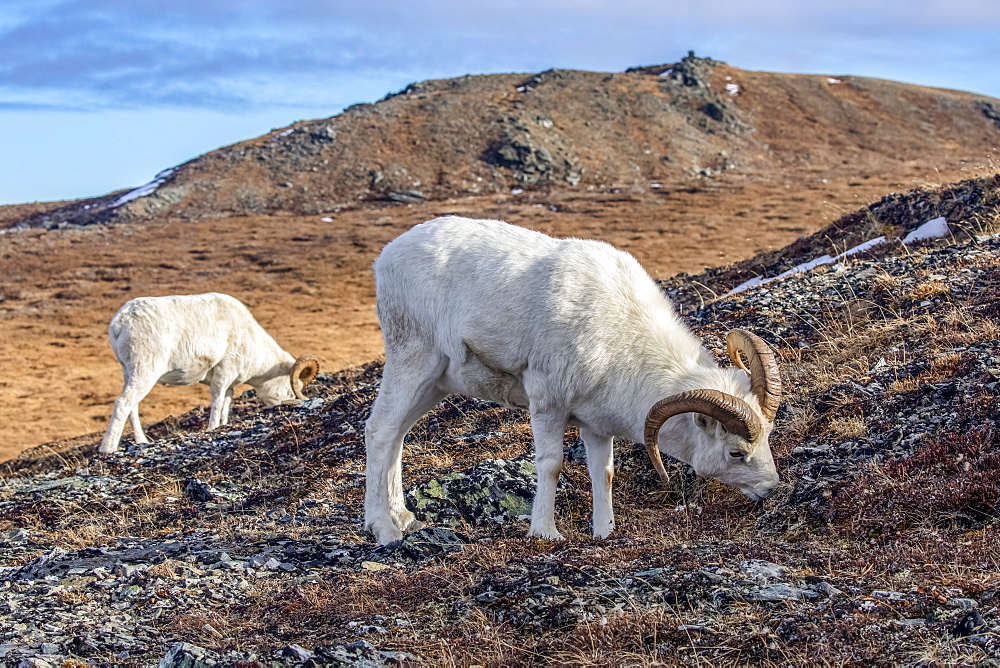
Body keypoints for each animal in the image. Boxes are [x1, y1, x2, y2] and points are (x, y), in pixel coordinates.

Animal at [99, 292, 318, 454]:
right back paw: (108, 449)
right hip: (145, 371)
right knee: (123, 404)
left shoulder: (229, 384)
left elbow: (226, 405)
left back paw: (141, 441)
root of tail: (121, 321)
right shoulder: (223, 373)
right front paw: (212, 428)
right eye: (291, 388)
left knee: (132, 407)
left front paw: (222, 425)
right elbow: (217, 402)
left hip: (129, 373)